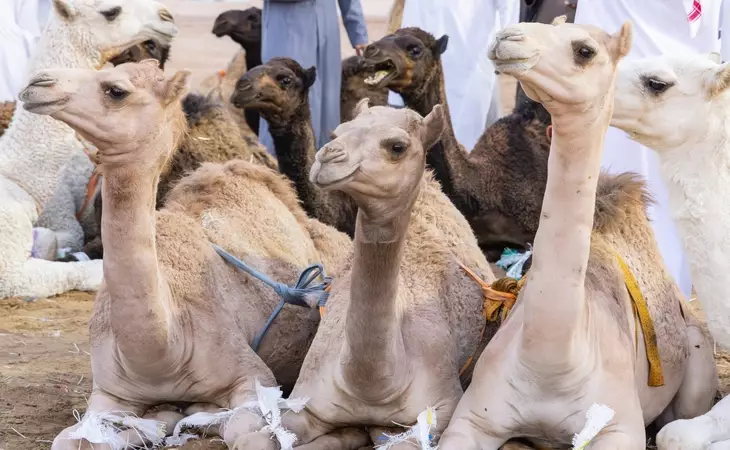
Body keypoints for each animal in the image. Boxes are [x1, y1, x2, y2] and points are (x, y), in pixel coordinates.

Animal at [227, 101, 498, 449]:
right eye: (337, 132)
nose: (327, 157)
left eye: (397, 146)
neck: (371, 384)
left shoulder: (441, 407)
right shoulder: (308, 400)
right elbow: (253, 439)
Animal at [435, 19, 718, 449]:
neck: (551, 361)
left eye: (585, 50)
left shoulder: (620, 427)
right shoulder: (473, 419)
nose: (506, 38)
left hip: (698, 361)